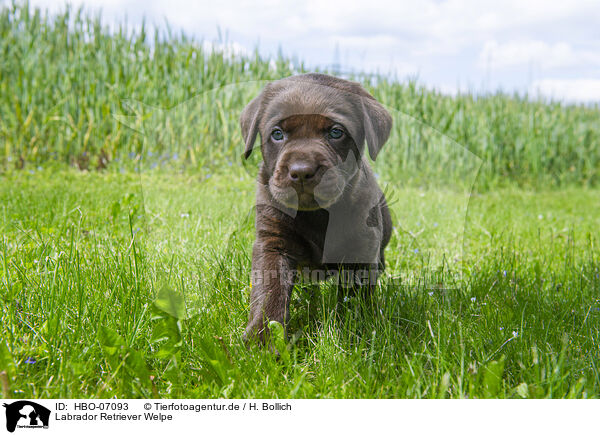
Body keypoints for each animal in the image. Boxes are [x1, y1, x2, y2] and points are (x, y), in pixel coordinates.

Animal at [239, 74, 394, 344]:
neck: (318, 214)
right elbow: (268, 291)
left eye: (336, 132)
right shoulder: (272, 241)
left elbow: (355, 296)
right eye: (277, 134)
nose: (301, 171)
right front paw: (263, 340)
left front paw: (356, 332)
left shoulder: (362, 249)